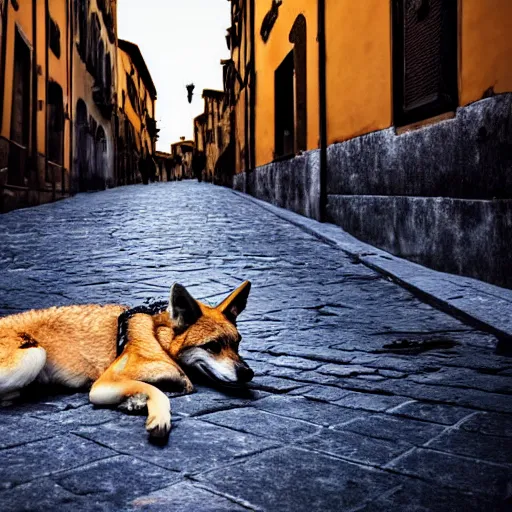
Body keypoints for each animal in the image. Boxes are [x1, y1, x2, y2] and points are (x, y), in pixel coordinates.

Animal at [0, 282, 254, 438]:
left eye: (237, 343)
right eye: (212, 346)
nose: (248, 373)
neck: (157, 334)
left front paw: (136, 401)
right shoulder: (102, 384)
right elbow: (165, 389)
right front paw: (157, 413)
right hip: (34, 354)